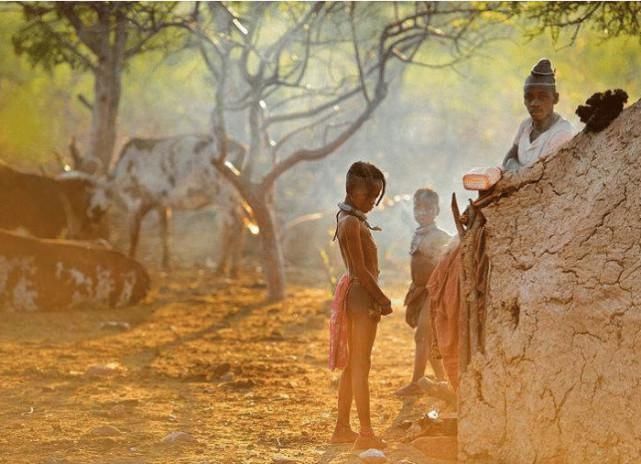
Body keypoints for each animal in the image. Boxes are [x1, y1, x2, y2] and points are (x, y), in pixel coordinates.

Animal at [109, 134, 249, 272]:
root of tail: (242, 148)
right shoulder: (161, 203)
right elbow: (164, 231)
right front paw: (165, 264)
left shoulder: (134, 199)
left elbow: (134, 234)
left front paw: (130, 259)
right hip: (230, 198)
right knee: (234, 224)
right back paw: (228, 268)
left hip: (225, 195)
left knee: (235, 224)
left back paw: (226, 269)